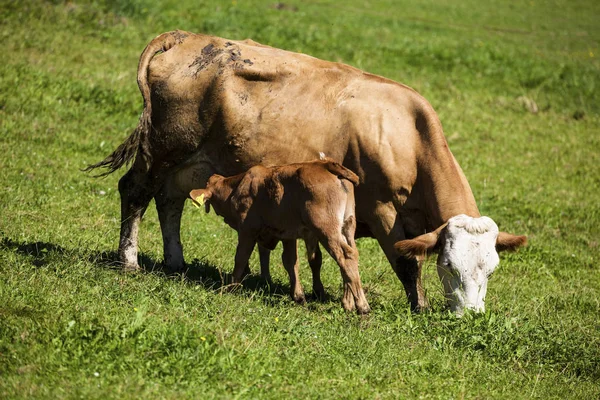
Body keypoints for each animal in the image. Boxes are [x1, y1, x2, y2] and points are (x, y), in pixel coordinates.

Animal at [191, 161, 370, 314]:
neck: (236, 188)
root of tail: (325, 164)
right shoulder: (288, 235)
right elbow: (291, 262)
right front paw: (298, 296)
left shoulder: (248, 230)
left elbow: (240, 258)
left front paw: (231, 287)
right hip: (347, 226)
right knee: (351, 257)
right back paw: (348, 303)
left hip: (326, 230)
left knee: (346, 256)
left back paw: (362, 306)